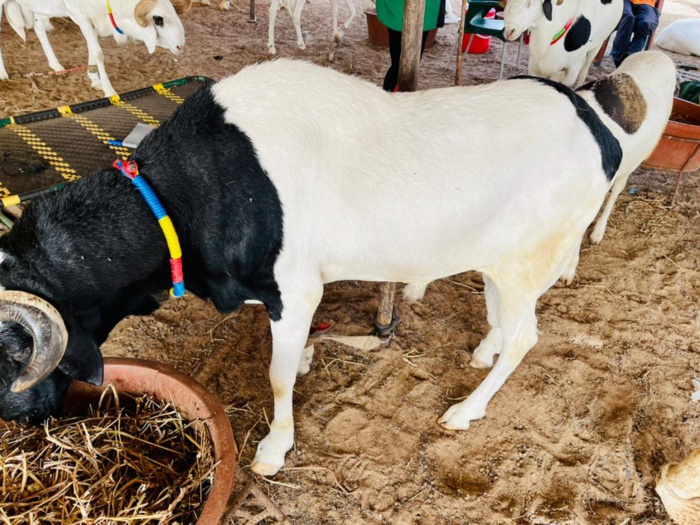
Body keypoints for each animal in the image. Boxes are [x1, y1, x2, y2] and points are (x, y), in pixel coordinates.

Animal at [0, 0, 190, 97]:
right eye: (158, 19)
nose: (181, 46)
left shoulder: (94, 21)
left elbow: (92, 48)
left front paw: (94, 79)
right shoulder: (80, 16)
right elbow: (98, 53)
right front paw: (109, 91)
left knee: (39, 27)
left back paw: (56, 65)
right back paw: (3, 74)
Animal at [0, 52, 675, 477]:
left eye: (11, 355)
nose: (20, 426)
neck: (187, 190)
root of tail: (594, 118)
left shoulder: (294, 289)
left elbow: (275, 377)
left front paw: (275, 448)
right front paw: (303, 362)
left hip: (524, 256)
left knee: (527, 335)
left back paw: (466, 409)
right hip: (500, 260)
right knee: (507, 322)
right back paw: (483, 351)